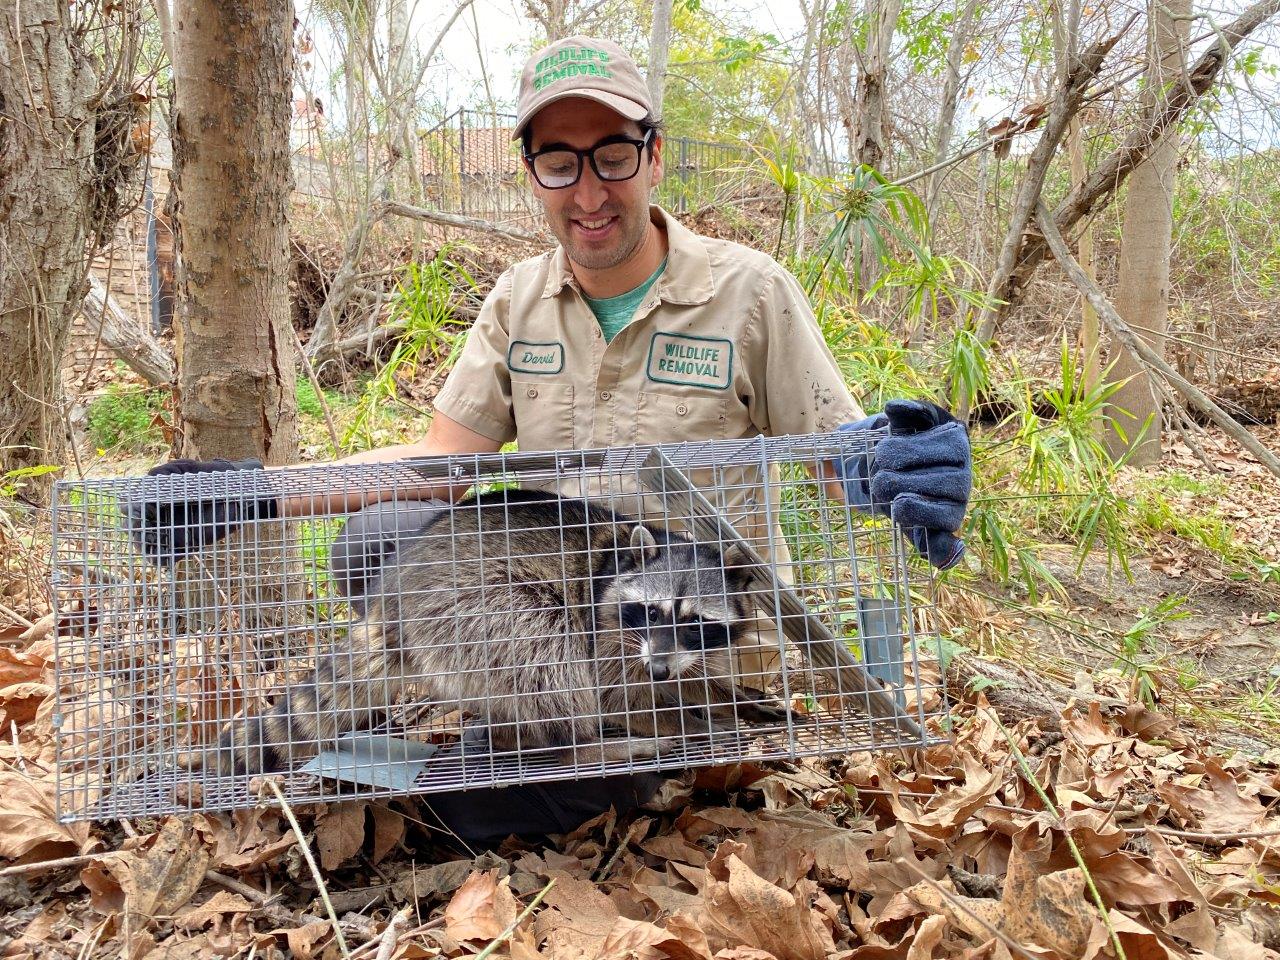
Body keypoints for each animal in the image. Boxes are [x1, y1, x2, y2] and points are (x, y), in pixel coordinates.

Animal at [217, 490, 787, 775]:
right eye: (650, 611)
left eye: (694, 623)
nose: (661, 666)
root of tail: (389, 599)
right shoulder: (604, 626)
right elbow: (616, 691)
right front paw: (685, 720)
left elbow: (691, 677)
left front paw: (727, 698)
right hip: (473, 608)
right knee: (547, 655)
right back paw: (582, 746)